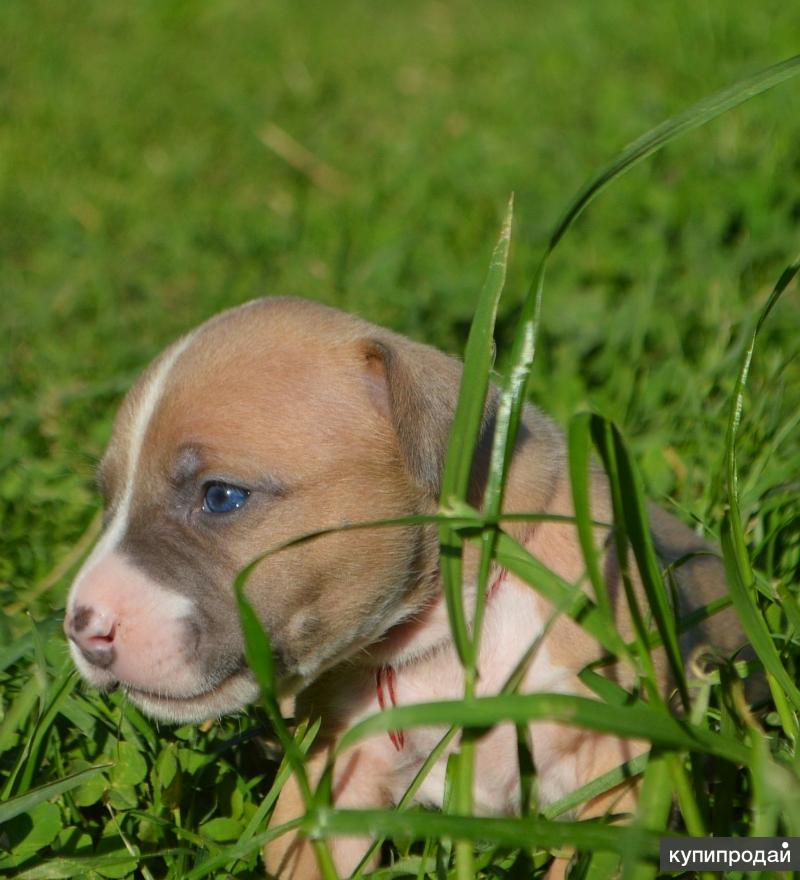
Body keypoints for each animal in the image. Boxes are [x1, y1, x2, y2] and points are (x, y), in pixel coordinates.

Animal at [62, 298, 744, 880]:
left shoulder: (615, 764)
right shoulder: (339, 772)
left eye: (221, 496)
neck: (455, 633)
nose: (82, 627)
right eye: (107, 499)